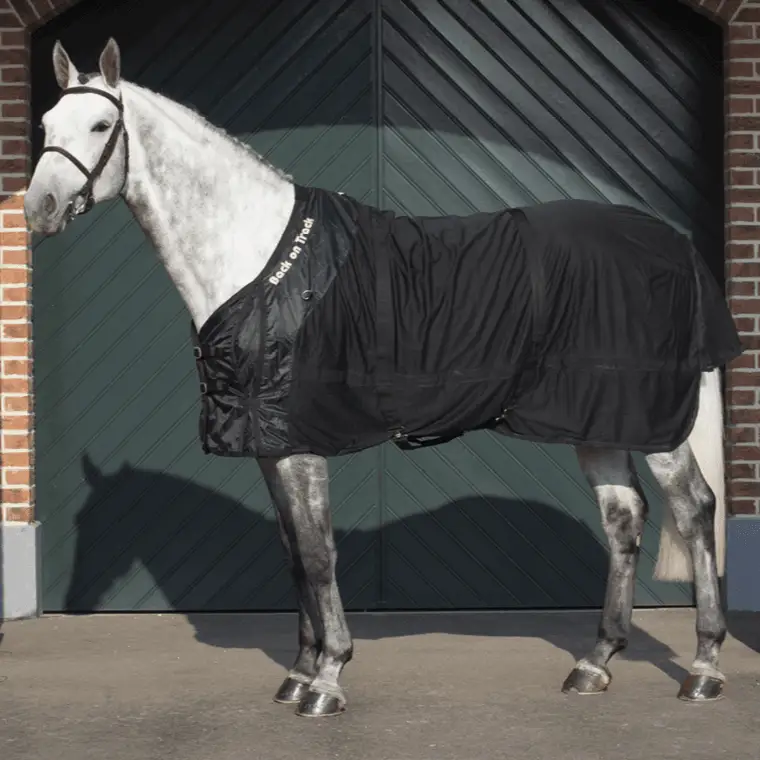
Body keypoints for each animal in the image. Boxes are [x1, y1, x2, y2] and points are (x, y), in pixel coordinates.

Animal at [24, 38, 742, 718]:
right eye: (47, 122)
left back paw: (705, 667)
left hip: (654, 424)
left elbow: (318, 555)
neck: (260, 260)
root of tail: (676, 246)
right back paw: (595, 663)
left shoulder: (302, 441)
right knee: (624, 518)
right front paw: (298, 673)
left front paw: (327, 679)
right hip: (599, 420)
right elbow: (293, 554)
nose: (39, 209)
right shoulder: (271, 444)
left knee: (694, 509)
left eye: (100, 125)